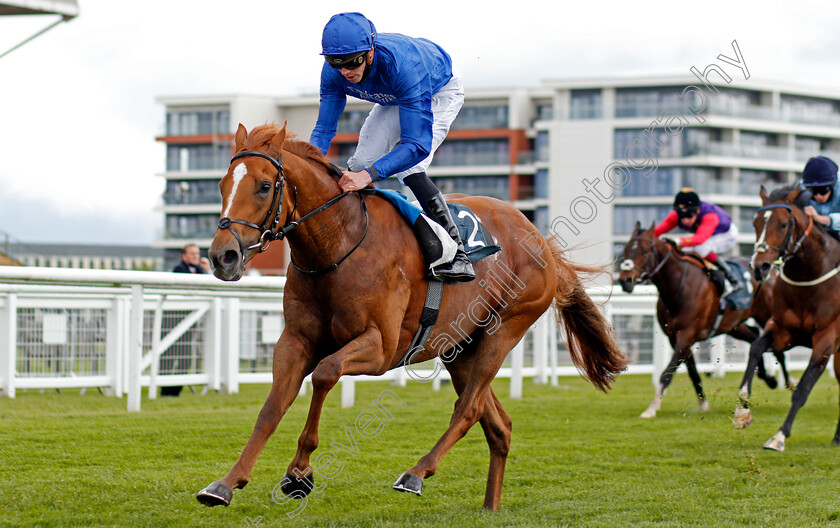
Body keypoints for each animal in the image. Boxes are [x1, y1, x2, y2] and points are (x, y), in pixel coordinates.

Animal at [199, 121, 632, 510]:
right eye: (221, 185)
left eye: (264, 186)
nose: (223, 256)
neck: (338, 243)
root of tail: (539, 238)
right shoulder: (295, 341)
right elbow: (271, 408)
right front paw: (225, 483)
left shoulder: (380, 347)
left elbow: (324, 373)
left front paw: (299, 473)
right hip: (460, 348)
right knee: (498, 424)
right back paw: (490, 506)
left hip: (505, 329)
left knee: (468, 409)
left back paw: (416, 473)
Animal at [616, 221, 788, 418]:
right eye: (626, 250)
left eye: (645, 251)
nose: (625, 280)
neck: (678, 287)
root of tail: (770, 272)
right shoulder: (676, 337)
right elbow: (692, 371)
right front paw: (703, 404)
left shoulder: (686, 334)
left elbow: (667, 372)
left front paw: (651, 409)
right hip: (732, 324)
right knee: (754, 336)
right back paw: (768, 377)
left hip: (768, 315)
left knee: (776, 346)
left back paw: (789, 382)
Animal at [732, 186, 840, 450]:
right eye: (755, 222)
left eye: (783, 224)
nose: (759, 266)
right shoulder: (783, 330)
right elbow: (756, 348)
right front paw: (742, 412)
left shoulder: (826, 339)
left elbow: (802, 390)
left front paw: (779, 436)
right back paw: (837, 437)